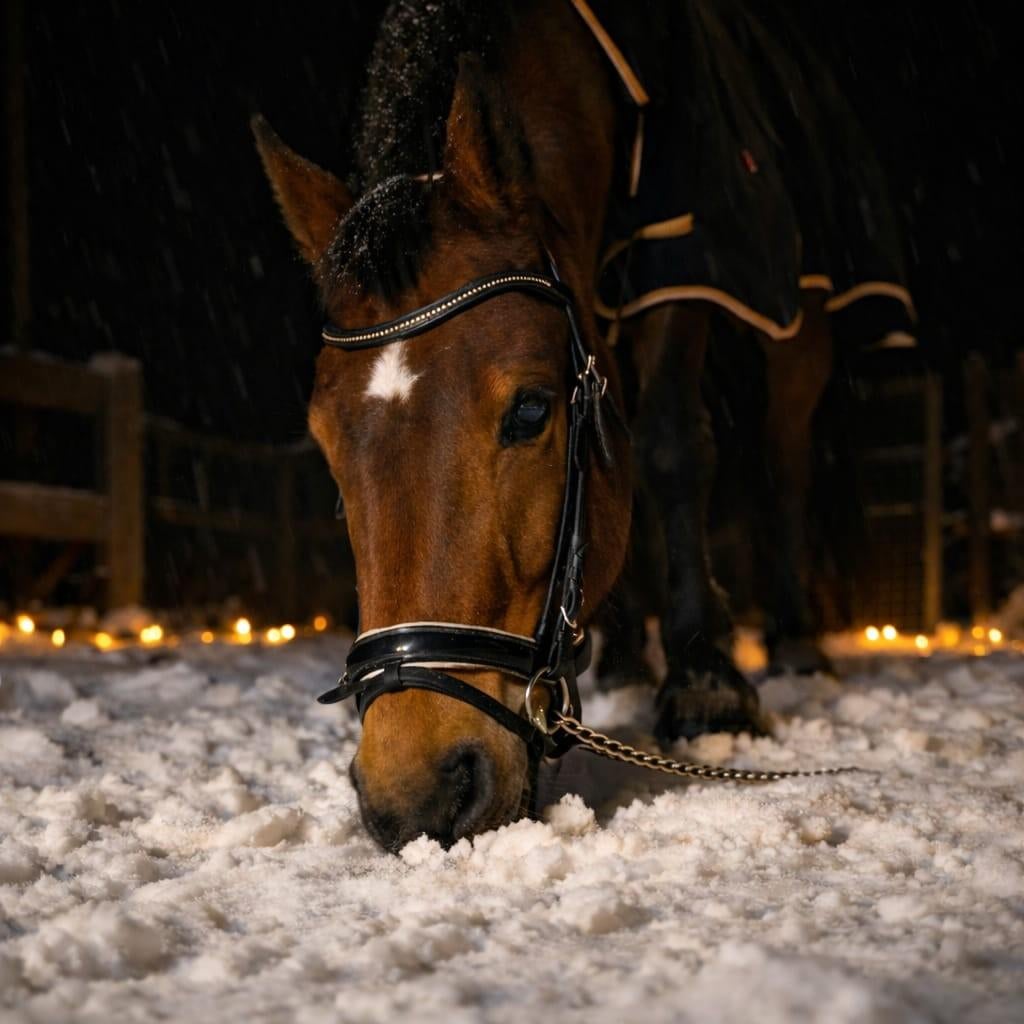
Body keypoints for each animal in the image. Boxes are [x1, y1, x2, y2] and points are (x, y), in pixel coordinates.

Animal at [254, 0, 913, 851]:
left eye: (531, 410)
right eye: (329, 445)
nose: (415, 796)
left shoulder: (686, 261)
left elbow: (674, 448)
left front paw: (709, 683)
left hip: (799, 318)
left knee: (783, 461)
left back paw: (794, 640)